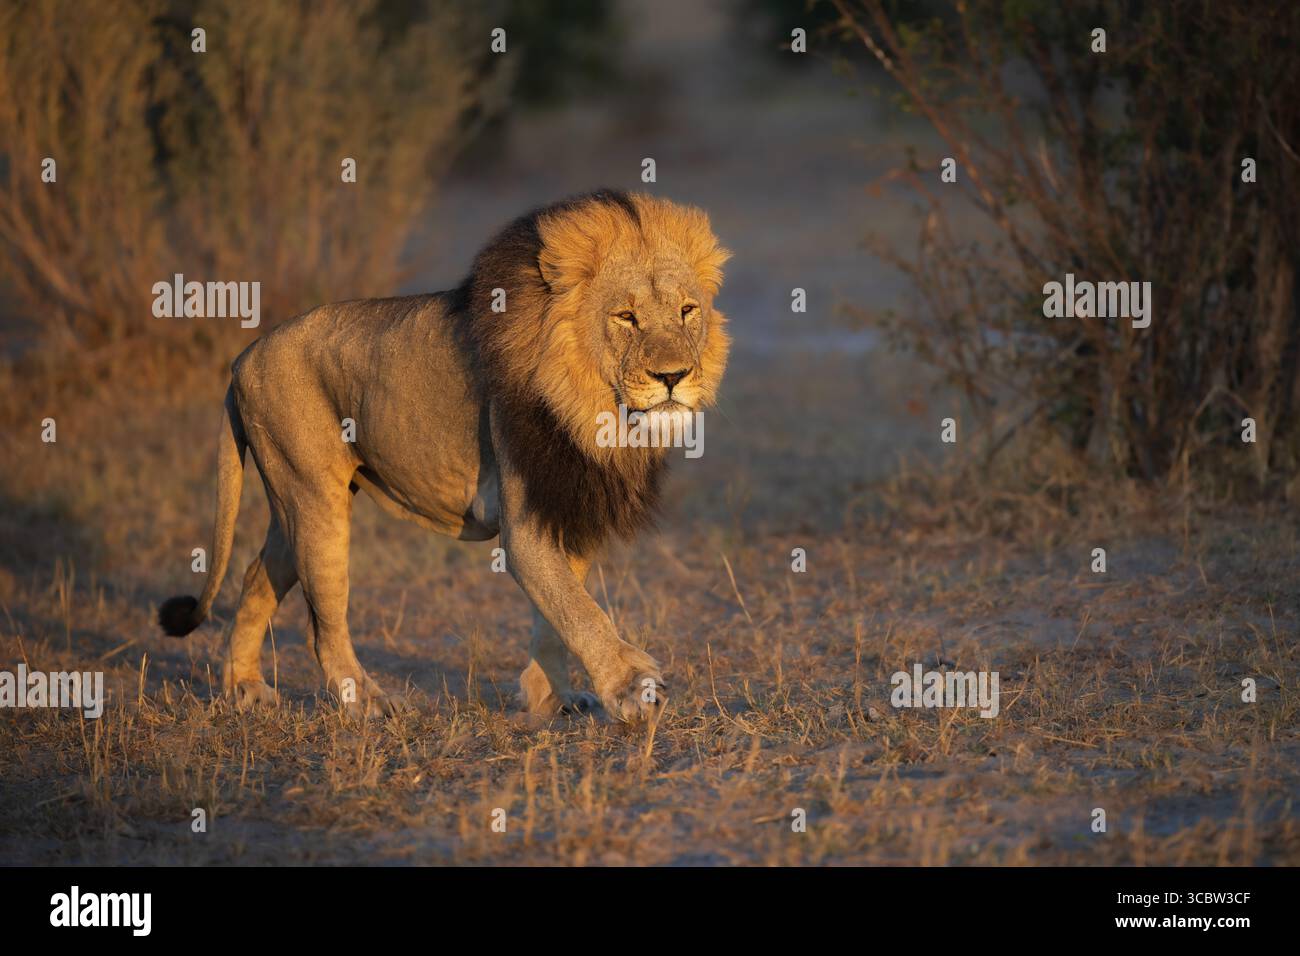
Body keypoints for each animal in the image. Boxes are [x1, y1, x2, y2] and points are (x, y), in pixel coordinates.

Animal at [158, 190, 730, 721]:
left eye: (687, 311)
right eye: (626, 317)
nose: (674, 376)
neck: (593, 409)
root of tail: (242, 357)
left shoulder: (571, 500)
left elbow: (557, 609)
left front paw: (551, 696)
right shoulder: (527, 520)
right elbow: (577, 608)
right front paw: (631, 687)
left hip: (291, 504)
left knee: (257, 576)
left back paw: (244, 689)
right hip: (314, 499)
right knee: (324, 621)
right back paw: (367, 702)